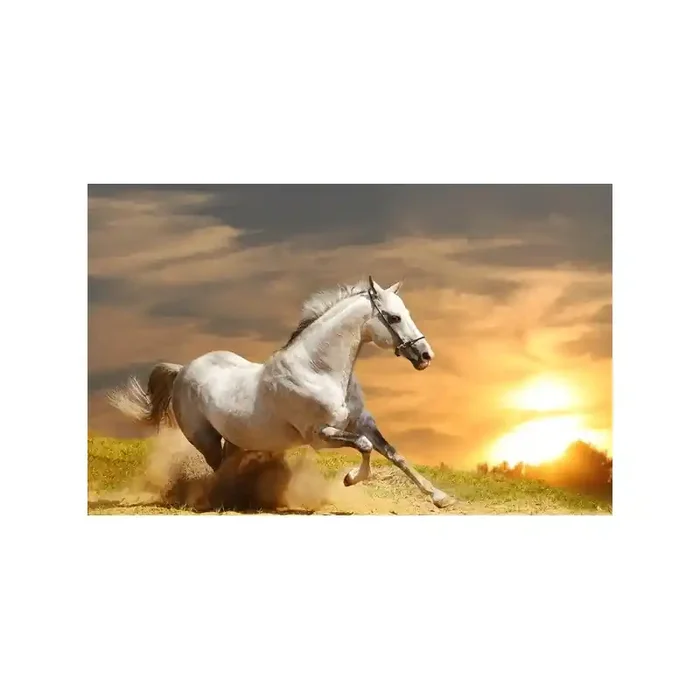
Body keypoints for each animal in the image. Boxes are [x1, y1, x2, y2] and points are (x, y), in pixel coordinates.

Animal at [108, 276, 456, 508]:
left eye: (407, 313)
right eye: (394, 317)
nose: (426, 355)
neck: (318, 370)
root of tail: (182, 369)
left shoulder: (362, 422)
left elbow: (395, 454)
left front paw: (441, 497)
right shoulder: (320, 436)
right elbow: (365, 446)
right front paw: (349, 479)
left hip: (236, 439)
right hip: (205, 439)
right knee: (219, 468)